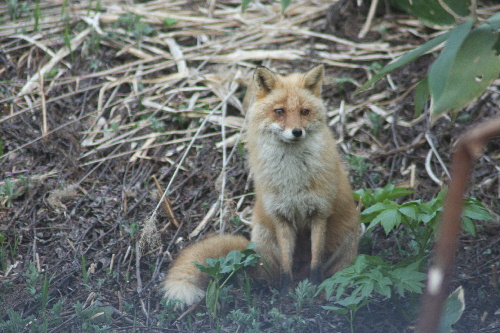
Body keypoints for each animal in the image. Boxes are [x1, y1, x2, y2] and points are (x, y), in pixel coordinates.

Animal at [163, 65, 360, 306]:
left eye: (304, 112)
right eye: (280, 111)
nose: (297, 132)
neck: (293, 180)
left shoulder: (319, 214)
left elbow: (316, 261)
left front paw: (313, 289)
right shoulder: (281, 217)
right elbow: (286, 265)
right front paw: (286, 293)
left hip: (349, 237)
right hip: (263, 235)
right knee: (270, 275)